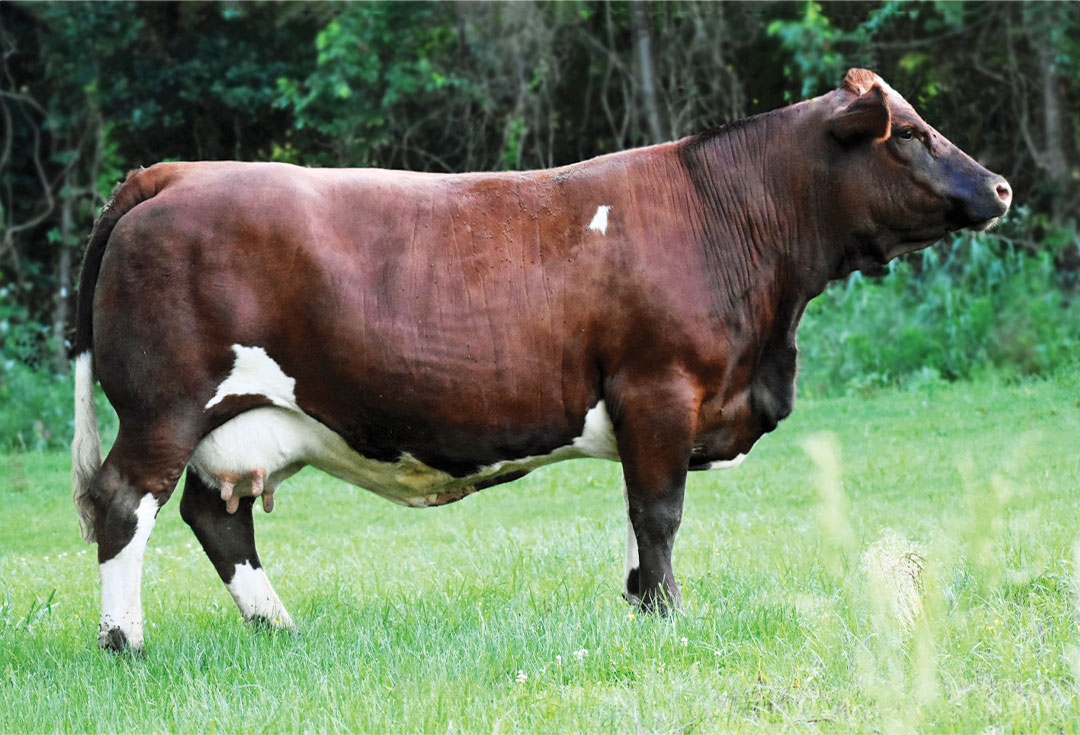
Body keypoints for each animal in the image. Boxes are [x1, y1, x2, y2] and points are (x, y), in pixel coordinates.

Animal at [72, 68, 1011, 652]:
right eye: (912, 134)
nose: (1000, 186)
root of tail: (176, 171)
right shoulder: (658, 389)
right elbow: (659, 512)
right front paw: (670, 614)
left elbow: (640, 515)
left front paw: (639, 602)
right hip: (165, 405)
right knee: (125, 502)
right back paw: (126, 640)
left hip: (243, 420)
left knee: (215, 515)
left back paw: (278, 626)